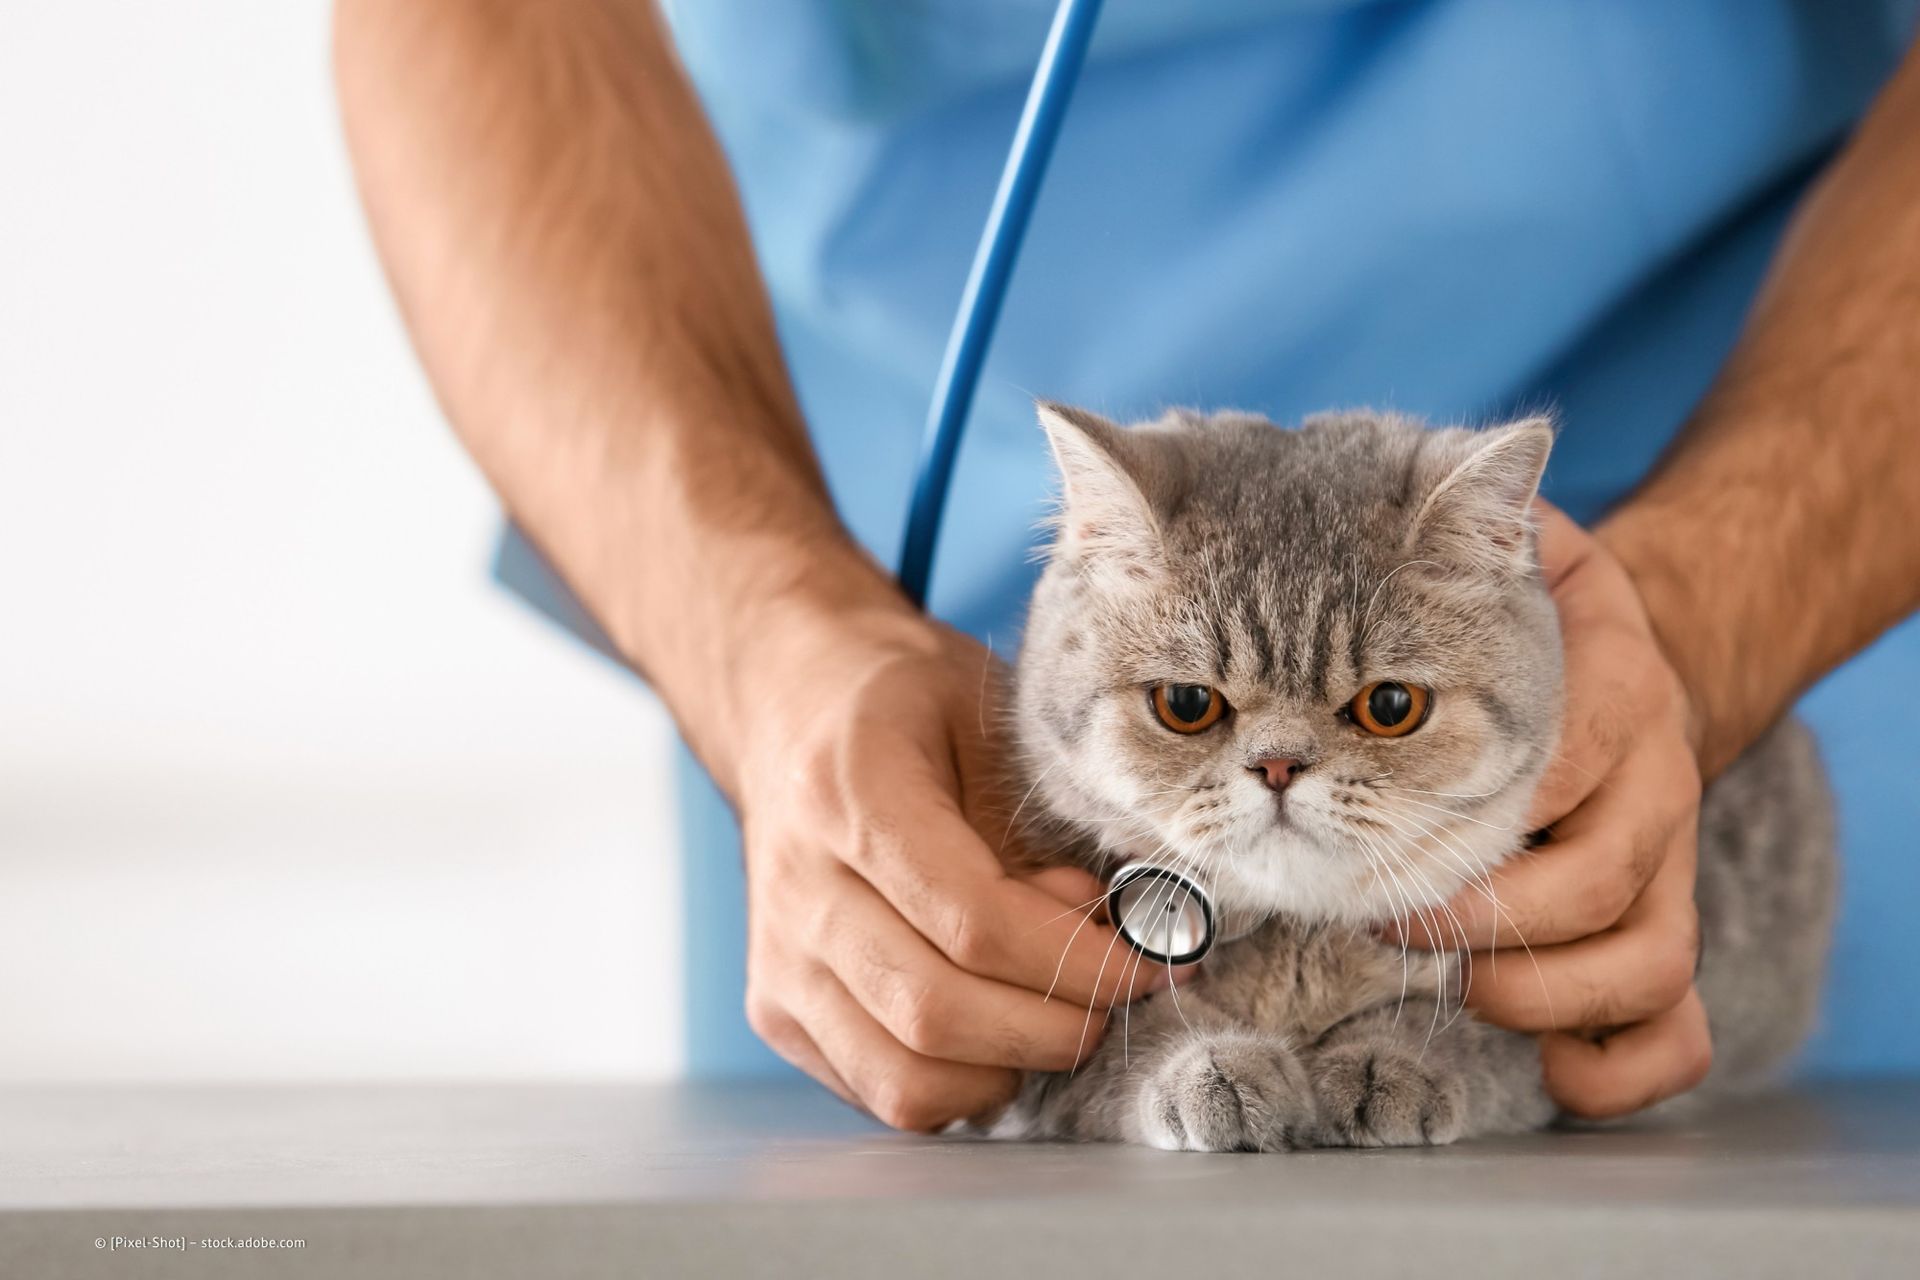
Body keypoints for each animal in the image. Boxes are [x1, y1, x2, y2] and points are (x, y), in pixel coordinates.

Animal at [983, 402, 1835, 1151]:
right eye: (1187, 703)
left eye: (1391, 705)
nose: (1279, 764)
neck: (1303, 948)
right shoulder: (1056, 1057)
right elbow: (1135, 1038)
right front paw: (1216, 1069)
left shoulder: (1549, 1036)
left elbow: (1472, 1032)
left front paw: (1387, 1063)